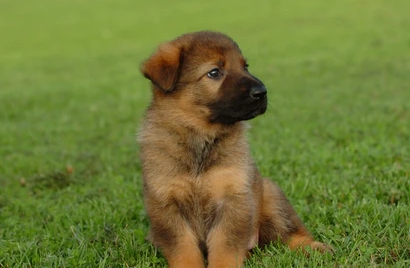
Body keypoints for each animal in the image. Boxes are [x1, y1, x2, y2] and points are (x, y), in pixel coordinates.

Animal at [139, 30, 332, 266]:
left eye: (245, 66)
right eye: (214, 72)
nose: (262, 92)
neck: (202, 139)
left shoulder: (233, 197)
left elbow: (225, 247)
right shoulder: (166, 204)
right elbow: (184, 249)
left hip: (271, 196)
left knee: (289, 234)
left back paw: (315, 248)